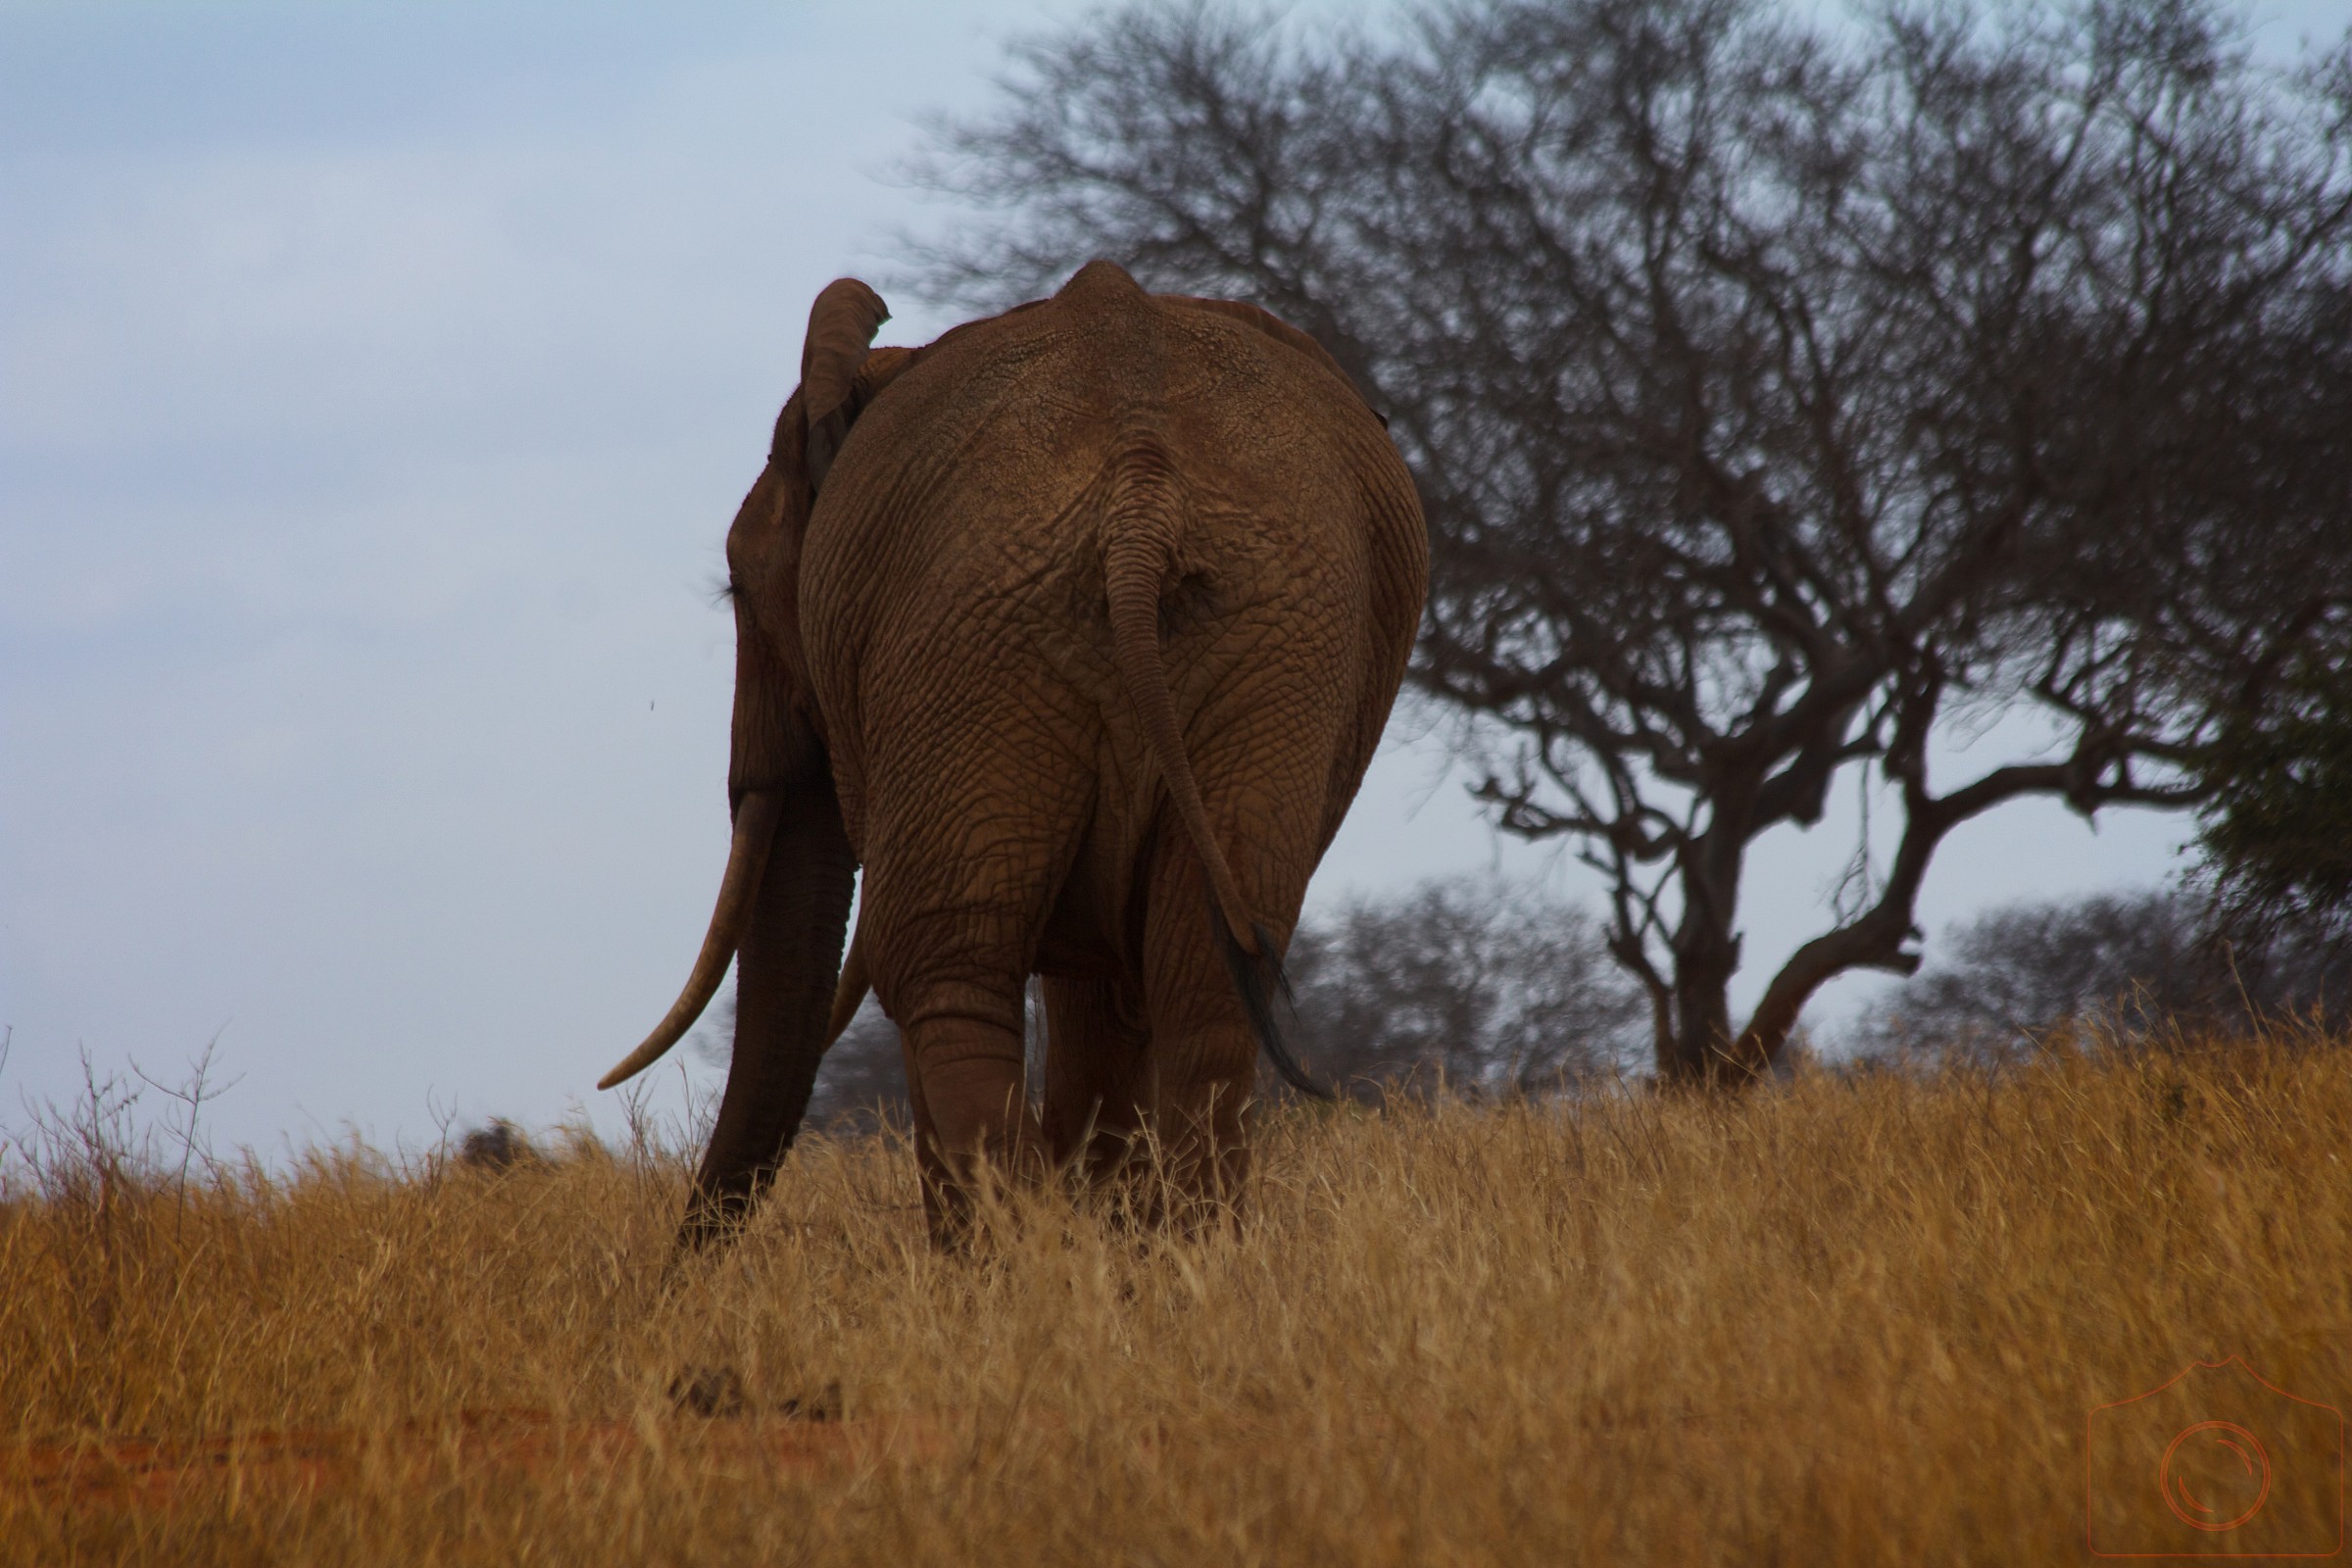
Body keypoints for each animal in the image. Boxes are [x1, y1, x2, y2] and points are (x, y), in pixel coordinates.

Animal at [600, 260, 1427, 1247]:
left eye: (734, 588)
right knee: (1204, 977)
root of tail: (1141, 503)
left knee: (945, 966)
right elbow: (1107, 994)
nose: (675, 1272)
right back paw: (1186, 1258)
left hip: (974, 630)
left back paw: (1013, 1268)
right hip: (1274, 642)